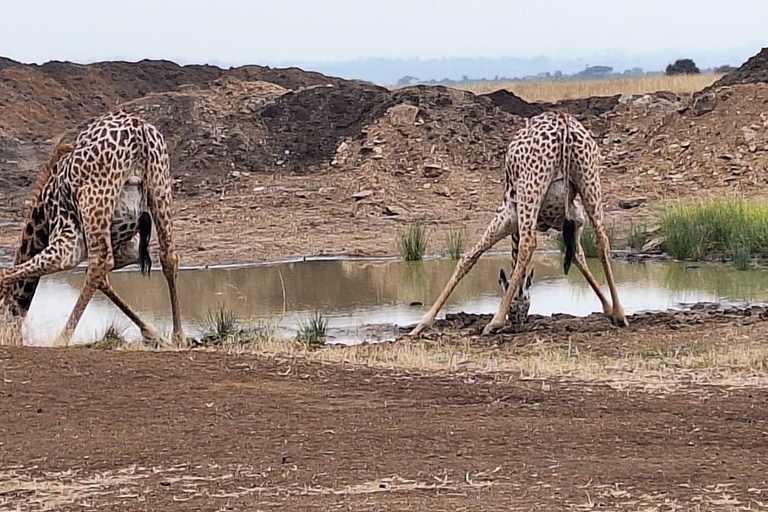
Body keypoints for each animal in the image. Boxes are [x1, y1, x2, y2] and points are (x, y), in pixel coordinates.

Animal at [0, 110, 184, 346]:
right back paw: (179, 337)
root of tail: (138, 130)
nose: (13, 341)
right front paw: (154, 335)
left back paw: (60, 341)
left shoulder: (68, 236)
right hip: (160, 184)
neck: (41, 220)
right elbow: (102, 280)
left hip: (95, 202)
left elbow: (6, 274)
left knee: (100, 261)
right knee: (168, 255)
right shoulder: (128, 248)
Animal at [412, 111, 628, 336]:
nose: (519, 323)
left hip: (530, 186)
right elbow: (578, 256)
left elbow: (469, 257)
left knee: (528, 243)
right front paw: (609, 310)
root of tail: (563, 122)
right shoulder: (575, 219)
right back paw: (621, 313)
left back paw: (494, 322)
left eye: (519, 307)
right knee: (602, 240)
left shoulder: (508, 216)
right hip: (589, 177)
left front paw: (422, 323)